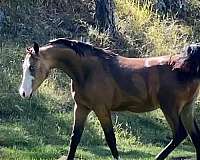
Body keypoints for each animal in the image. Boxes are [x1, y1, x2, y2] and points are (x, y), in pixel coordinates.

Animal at [19, 38, 200, 159]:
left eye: (32, 67)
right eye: (24, 67)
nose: (23, 93)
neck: (87, 71)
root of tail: (187, 65)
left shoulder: (101, 109)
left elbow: (111, 139)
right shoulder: (81, 107)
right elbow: (75, 138)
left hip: (170, 108)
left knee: (179, 134)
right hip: (187, 109)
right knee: (195, 137)